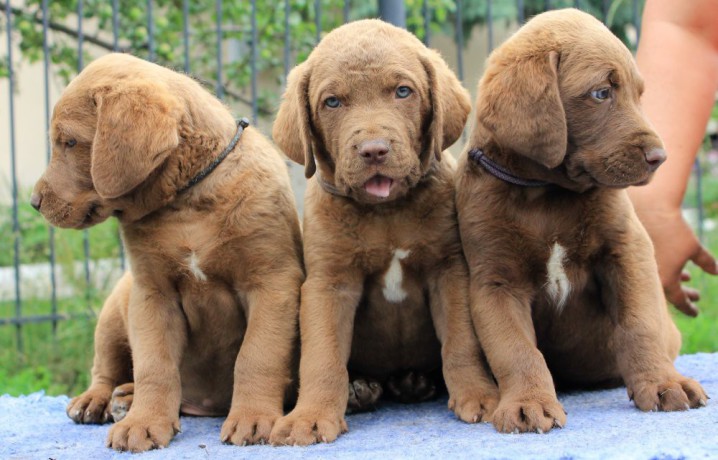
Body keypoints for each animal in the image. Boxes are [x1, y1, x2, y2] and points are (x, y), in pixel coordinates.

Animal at [32, 53, 304, 450]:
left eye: (69, 142)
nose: (34, 202)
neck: (187, 201)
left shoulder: (273, 282)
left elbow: (257, 355)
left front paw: (253, 419)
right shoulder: (152, 293)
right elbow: (154, 364)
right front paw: (143, 423)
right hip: (115, 310)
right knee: (105, 367)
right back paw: (104, 401)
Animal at [268, 18, 498, 446]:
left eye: (403, 91)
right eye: (332, 102)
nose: (374, 150)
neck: (386, 213)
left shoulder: (449, 270)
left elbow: (462, 340)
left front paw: (479, 395)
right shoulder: (329, 283)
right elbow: (322, 356)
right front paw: (311, 416)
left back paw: (412, 382)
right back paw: (360, 389)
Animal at [456, 9, 708, 434]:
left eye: (639, 94)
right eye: (601, 93)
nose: (660, 157)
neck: (547, 195)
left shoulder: (627, 250)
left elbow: (640, 324)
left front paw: (662, 383)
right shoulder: (495, 281)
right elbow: (515, 348)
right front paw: (528, 403)